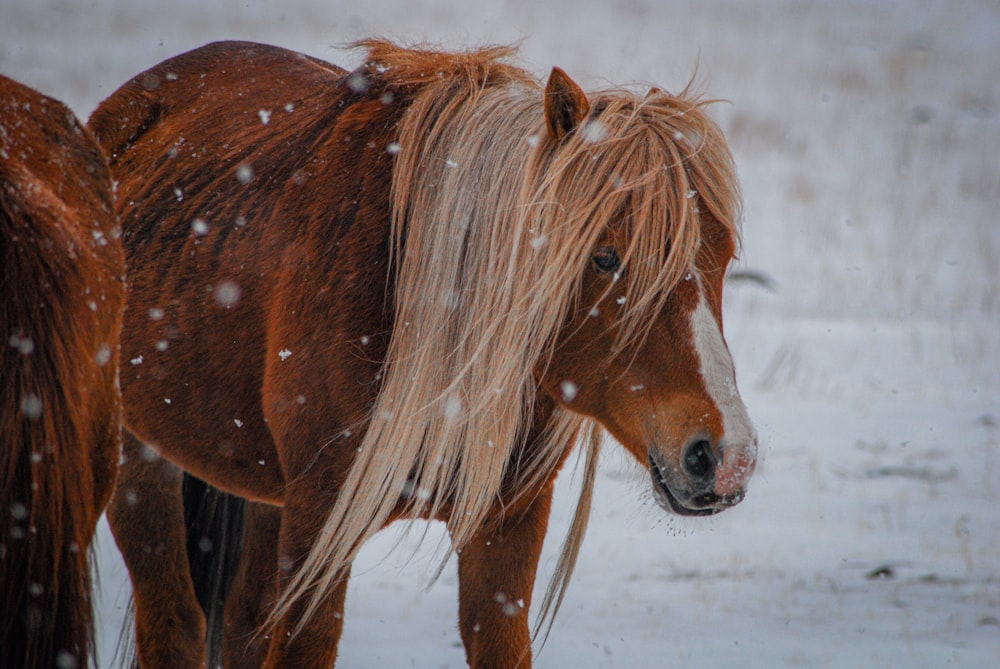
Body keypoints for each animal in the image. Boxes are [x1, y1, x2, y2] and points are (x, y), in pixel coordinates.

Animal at [90, 39, 752, 664]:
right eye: (607, 256)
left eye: (723, 256)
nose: (726, 457)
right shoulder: (318, 524)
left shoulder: (509, 523)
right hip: (140, 462)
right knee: (174, 624)